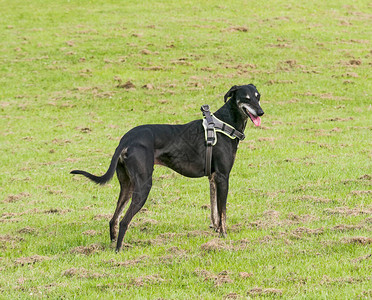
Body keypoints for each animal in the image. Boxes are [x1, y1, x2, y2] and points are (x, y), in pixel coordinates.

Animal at [71, 84, 264, 251]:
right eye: (246, 98)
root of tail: (126, 139)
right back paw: (119, 251)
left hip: (127, 186)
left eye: (258, 96)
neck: (225, 123)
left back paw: (112, 246)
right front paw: (224, 236)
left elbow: (215, 212)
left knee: (113, 220)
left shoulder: (213, 179)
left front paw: (216, 232)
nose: (261, 112)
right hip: (143, 185)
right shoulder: (223, 177)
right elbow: (223, 212)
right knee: (124, 221)